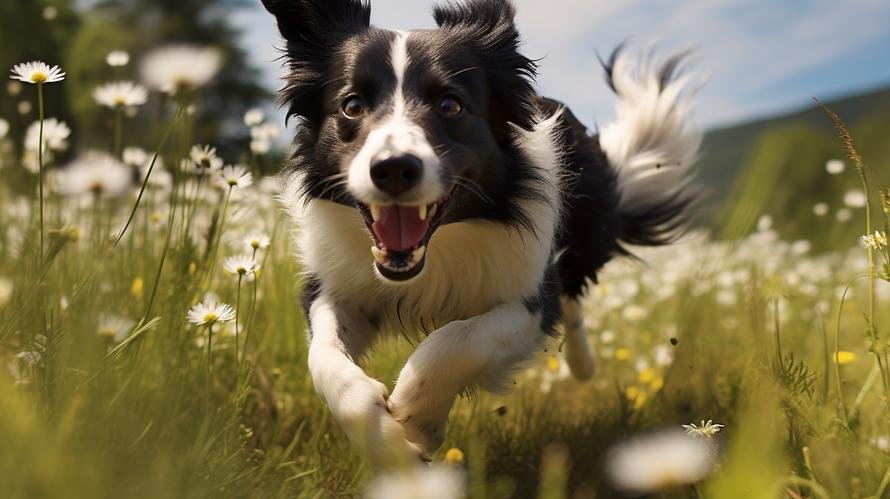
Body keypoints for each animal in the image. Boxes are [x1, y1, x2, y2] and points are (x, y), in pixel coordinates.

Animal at [260, 0, 696, 468]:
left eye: (450, 106)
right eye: (352, 105)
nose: (394, 168)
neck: (436, 251)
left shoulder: (527, 296)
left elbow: (460, 338)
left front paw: (416, 413)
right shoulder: (336, 285)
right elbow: (324, 357)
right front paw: (389, 446)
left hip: (586, 233)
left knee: (571, 295)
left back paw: (583, 365)